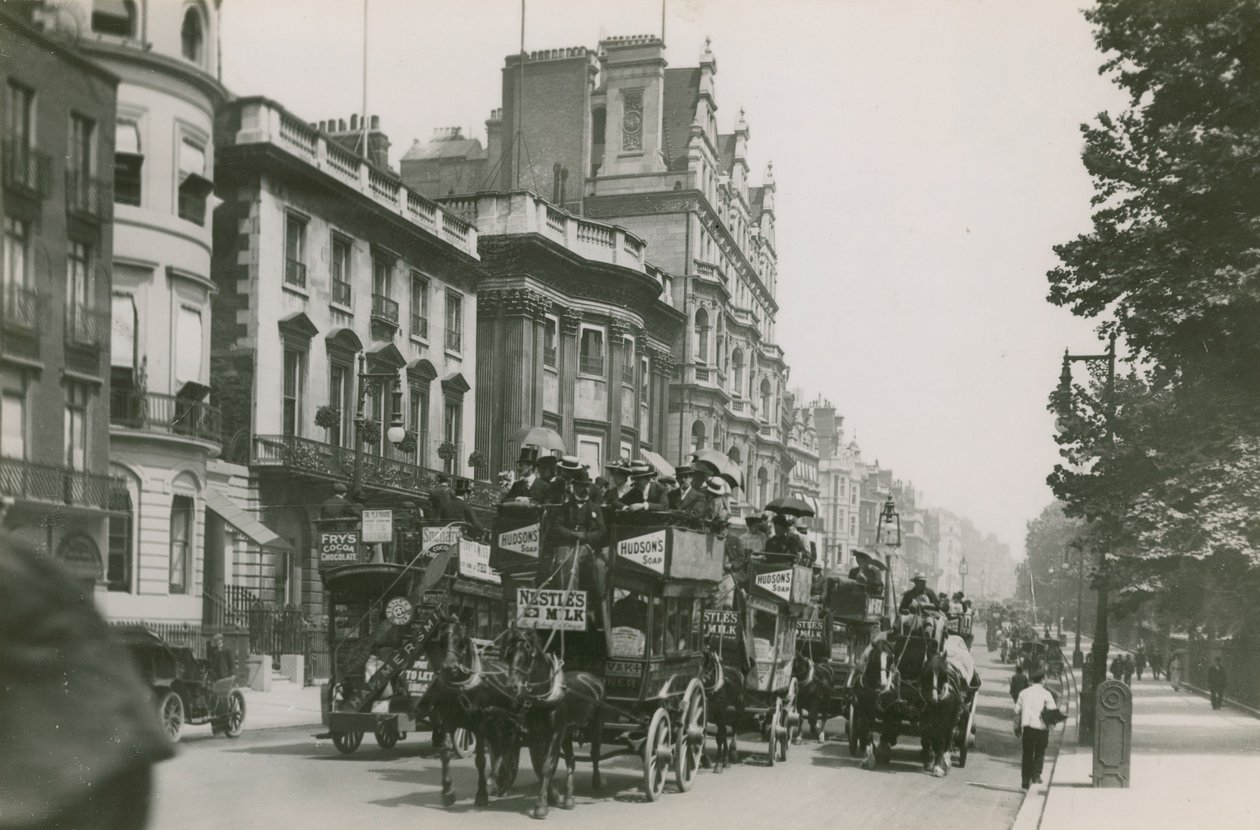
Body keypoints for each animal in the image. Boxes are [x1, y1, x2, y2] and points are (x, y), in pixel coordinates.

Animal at [420, 614, 519, 806]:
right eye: (442, 639)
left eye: (461, 640)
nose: (449, 667)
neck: (462, 684)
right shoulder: (448, 720)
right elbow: (445, 753)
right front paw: (447, 792)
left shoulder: (479, 723)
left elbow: (480, 759)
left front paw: (481, 794)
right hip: (495, 723)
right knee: (499, 746)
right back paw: (498, 783)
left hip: (508, 721)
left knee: (508, 746)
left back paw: (498, 782)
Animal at [498, 629, 602, 816]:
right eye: (509, 653)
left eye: (528, 653)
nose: (512, 687)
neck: (545, 696)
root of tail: (593, 677)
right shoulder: (536, 734)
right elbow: (540, 766)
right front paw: (553, 796)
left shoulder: (555, 732)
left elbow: (548, 765)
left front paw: (541, 806)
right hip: (567, 733)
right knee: (571, 761)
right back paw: (569, 798)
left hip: (596, 725)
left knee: (595, 754)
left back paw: (597, 782)